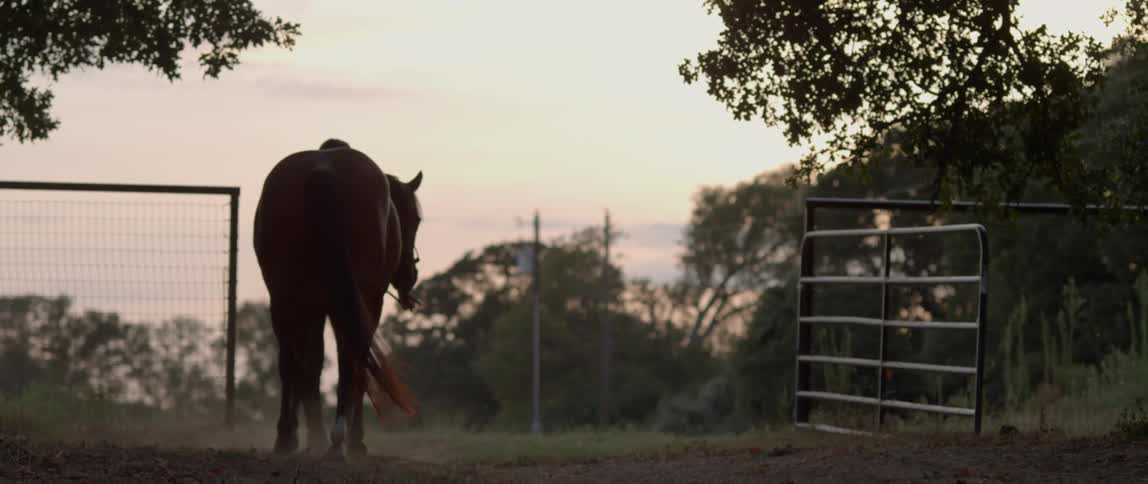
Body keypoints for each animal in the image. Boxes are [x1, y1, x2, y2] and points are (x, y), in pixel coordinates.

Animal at [253, 138, 422, 458]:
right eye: (416, 219)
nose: (410, 276)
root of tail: (324, 171)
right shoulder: (364, 304)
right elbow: (354, 366)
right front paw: (354, 439)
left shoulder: (315, 308)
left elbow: (311, 366)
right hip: (356, 301)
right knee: (350, 360)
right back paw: (337, 438)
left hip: (283, 299)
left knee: (290, 363)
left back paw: (294, 438)